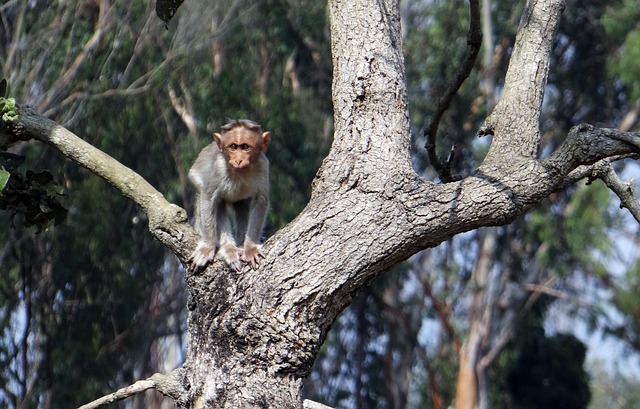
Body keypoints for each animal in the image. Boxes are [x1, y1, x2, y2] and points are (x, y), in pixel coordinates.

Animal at [188, 119, 271, 271]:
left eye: (245, 147)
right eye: (233, 147)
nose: (238, 160)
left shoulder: (263, 165)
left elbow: (261, 200)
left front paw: (250, 248)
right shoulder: (219, 168)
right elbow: (209, 197)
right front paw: (207, 247)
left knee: (242, 205)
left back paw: (241, 243)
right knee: (218, 202)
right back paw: (229, 248)